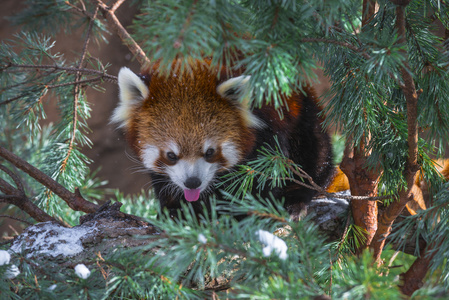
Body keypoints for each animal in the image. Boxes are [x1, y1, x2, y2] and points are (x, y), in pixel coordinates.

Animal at [112, 59, 334, 218]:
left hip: (305, 117)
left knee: (313, 156)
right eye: (171, 155)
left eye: (210, 152)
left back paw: (295, 198)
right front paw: (176, 210)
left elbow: (262, 175)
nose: (192, 182)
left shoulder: (269, 125)